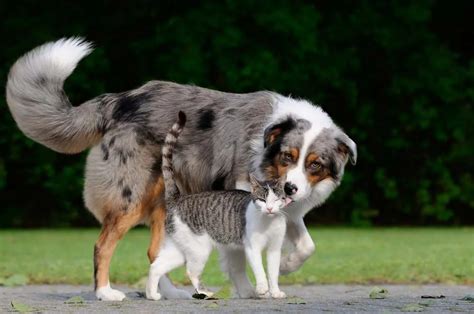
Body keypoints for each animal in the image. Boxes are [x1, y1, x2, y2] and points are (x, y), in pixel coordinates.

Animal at [146, 111, 288, 300]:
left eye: (277, 199)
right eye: (262, 200)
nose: (270, 209)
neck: (268, 222)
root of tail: (177, 199)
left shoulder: (274, 249)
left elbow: (273, 273)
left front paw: (276, 292)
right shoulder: (253, 248)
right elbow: (260, 271)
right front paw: (262, 289)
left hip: (179, 249)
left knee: (156, 266)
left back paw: (151, 295)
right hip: (199, 249)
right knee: (191, 271)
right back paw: (205, 292)